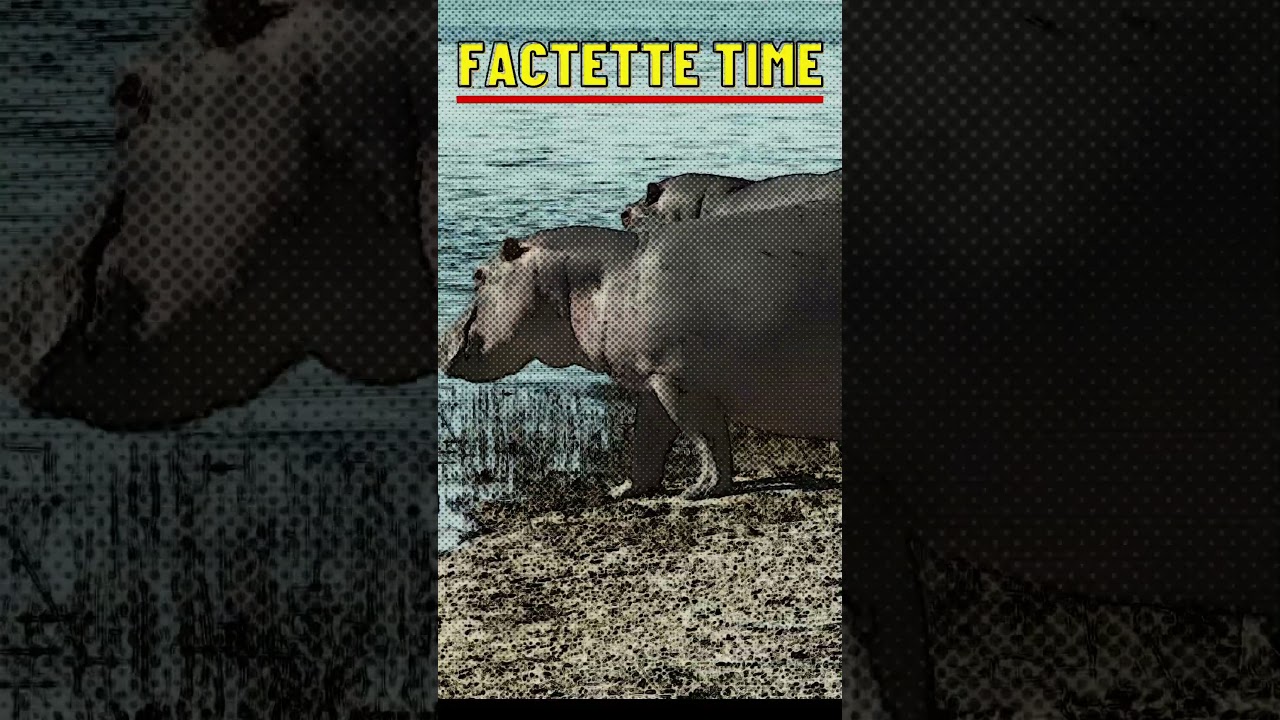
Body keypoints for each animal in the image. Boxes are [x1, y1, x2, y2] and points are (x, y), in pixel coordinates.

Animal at [441, 201, 841, 500]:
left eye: (478, 275)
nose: (443, 340)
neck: (598, 281)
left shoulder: (679, 380)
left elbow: (704, 436)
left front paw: (695, 492)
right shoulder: (652, 379)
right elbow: (647, 440)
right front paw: (622, 490)